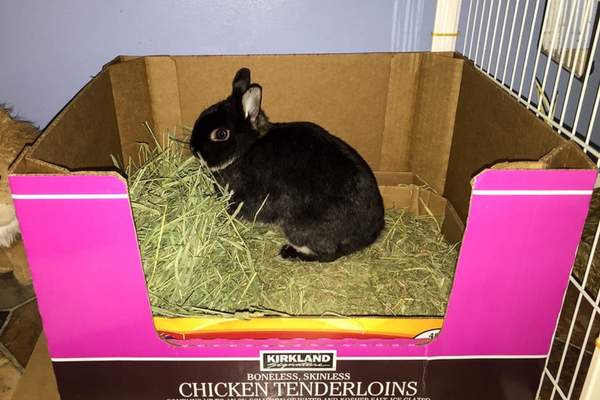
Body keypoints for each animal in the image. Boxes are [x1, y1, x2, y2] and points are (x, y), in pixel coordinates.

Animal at [190, 69, 382, 262]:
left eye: (221, 134)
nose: (193, 148)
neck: (246, 149)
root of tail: (370, 234)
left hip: (298, 228)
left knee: (327, 254)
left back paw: (288, 252)